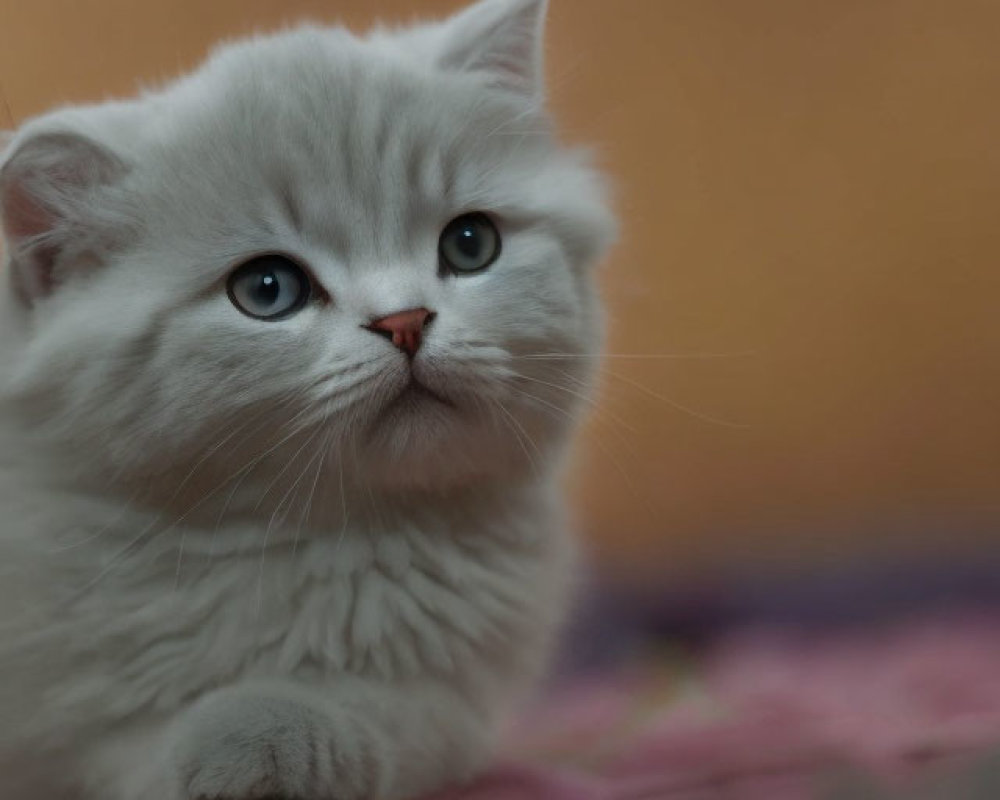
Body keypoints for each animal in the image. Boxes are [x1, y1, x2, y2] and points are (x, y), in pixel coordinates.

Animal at [0, 1, 608, 800]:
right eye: (268, 290)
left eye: (471, 244)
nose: (405, 321)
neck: (302, 539)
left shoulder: (454, 701)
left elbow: (376, 713)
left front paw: (264, 735)